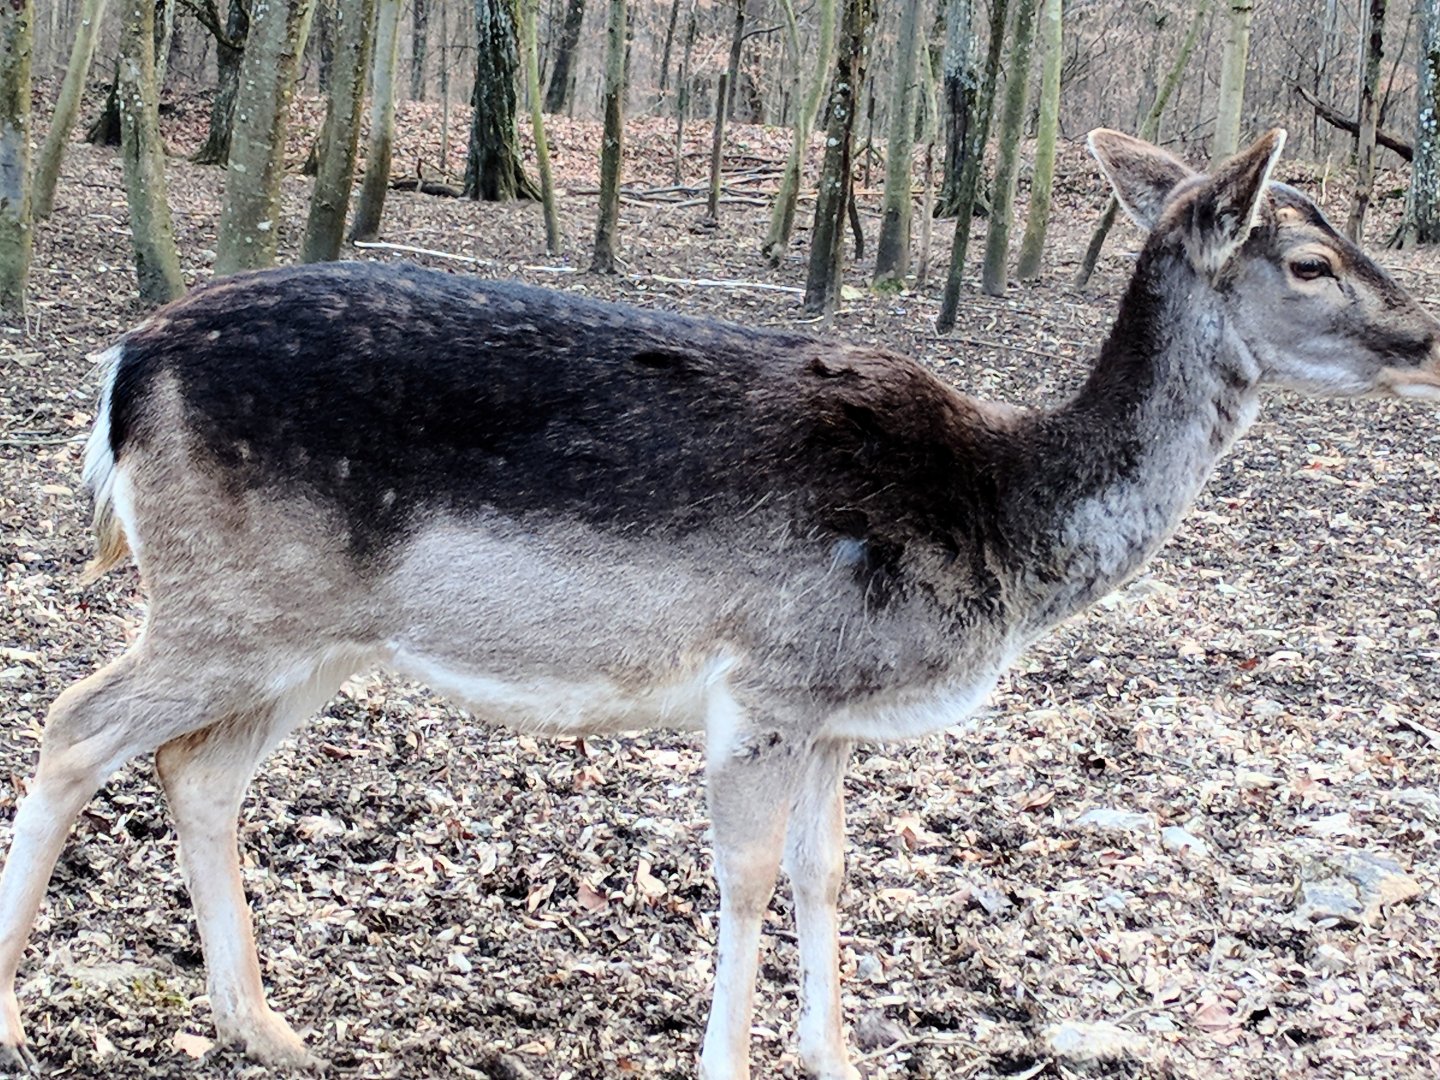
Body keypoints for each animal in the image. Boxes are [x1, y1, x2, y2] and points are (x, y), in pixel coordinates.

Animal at [0, 127, 1436, 1079]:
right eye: (1310, 260)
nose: (1422, 338)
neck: (1003, 519)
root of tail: (125, 362)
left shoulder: (837, 714)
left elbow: (826, 872)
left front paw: (838, 1058)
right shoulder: (771, 679)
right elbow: (744, 876)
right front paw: (732, 1061)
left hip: (309, 640)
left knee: (196, 772)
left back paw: (267, 1027)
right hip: (225, 604)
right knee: (75, 723)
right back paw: (29, 1017)